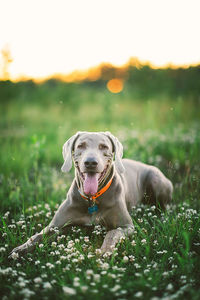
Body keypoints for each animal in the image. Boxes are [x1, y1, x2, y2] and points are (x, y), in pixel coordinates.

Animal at [9, 131, 173, 255]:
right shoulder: (56, 226)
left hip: (155, 179)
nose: (90, 162)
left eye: (104, 147)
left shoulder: (126, 226)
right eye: (81, 145)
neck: (91, 199)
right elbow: (37, 236)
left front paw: (105, 251)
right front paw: (20, 249)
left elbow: (112, 234)